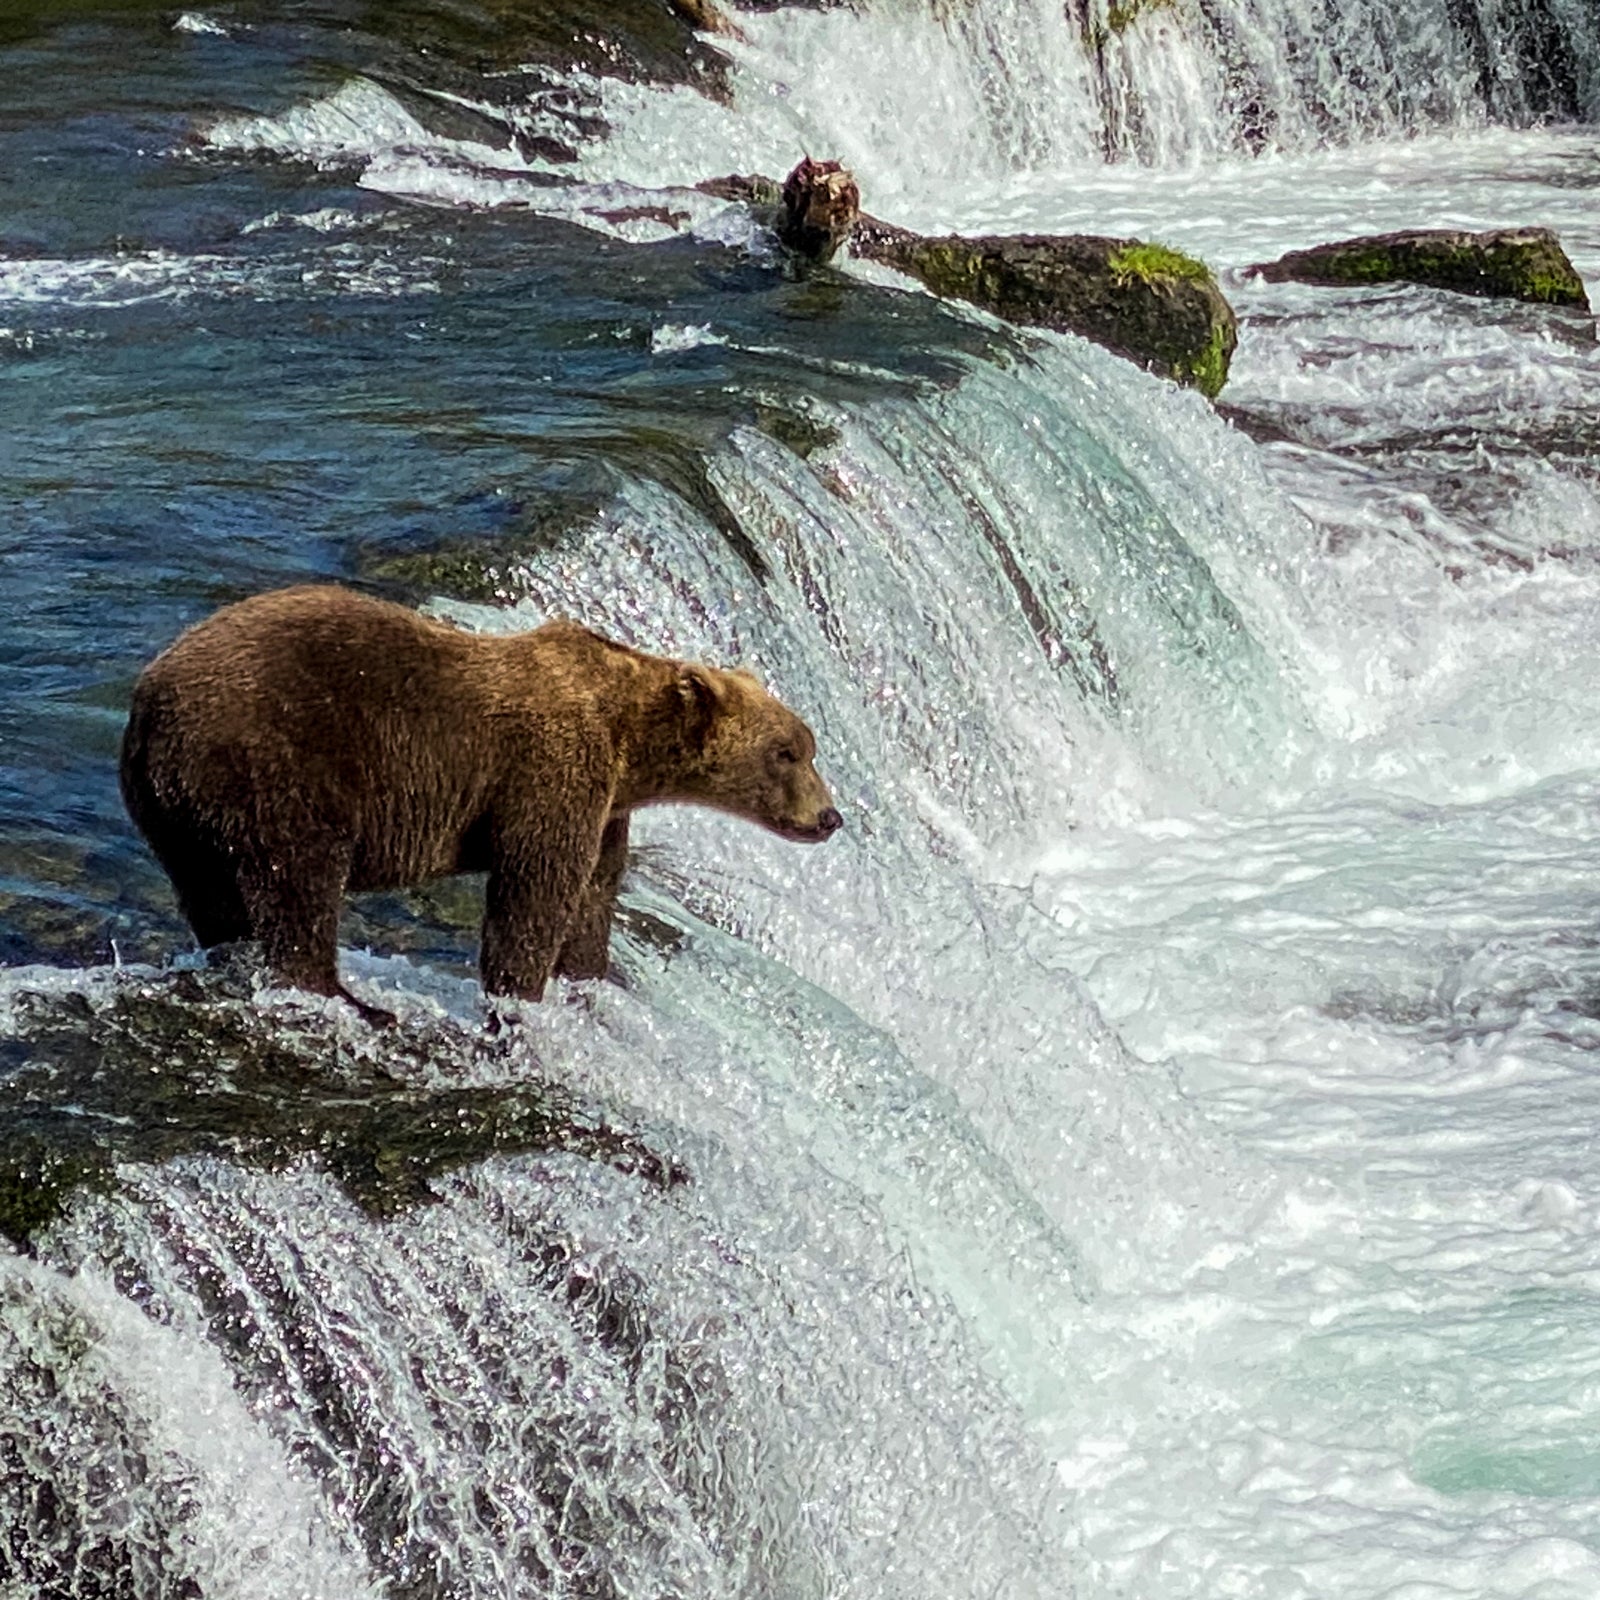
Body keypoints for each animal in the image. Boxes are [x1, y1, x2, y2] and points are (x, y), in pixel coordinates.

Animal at [120, 588, 844, 1011]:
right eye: (788, 752)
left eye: (806, 746)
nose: (830, 817)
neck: (628, 739)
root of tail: (149, 698)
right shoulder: (550, 771)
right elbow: (536, 887)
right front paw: (519, 995)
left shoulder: (606, 805)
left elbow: (595, 890)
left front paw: (590, 975)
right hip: (275, 763)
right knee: (296, 880)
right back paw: (347, 998)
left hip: (176, 808)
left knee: (210, 890)